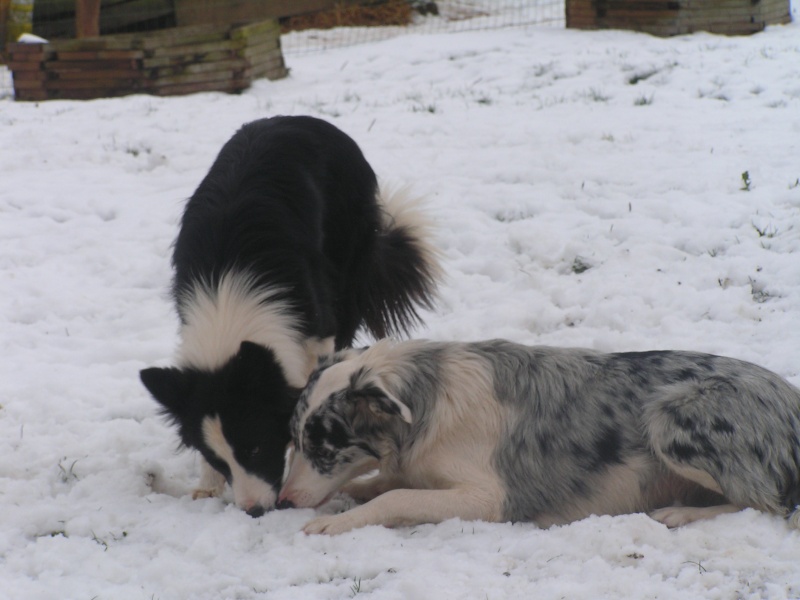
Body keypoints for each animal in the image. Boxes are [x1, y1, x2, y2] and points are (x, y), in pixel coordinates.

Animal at [138, 116, 438, 516]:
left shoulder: (316, 328)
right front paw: (206, 488)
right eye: (218, 459)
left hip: (345, 268)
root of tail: (297, 119)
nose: (253, 511)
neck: (227, 300)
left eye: (255, 446)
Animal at [278, 338, 800, 536]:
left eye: (321, 446)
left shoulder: (490, 498)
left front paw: (335, 522)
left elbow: (395, 497)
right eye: (293, 440)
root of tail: (790, 396)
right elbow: (381, 484)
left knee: (767, 503)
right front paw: (349, 497)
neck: (428, 406)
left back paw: (681, 512)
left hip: (671, 417)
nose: (281, 502)